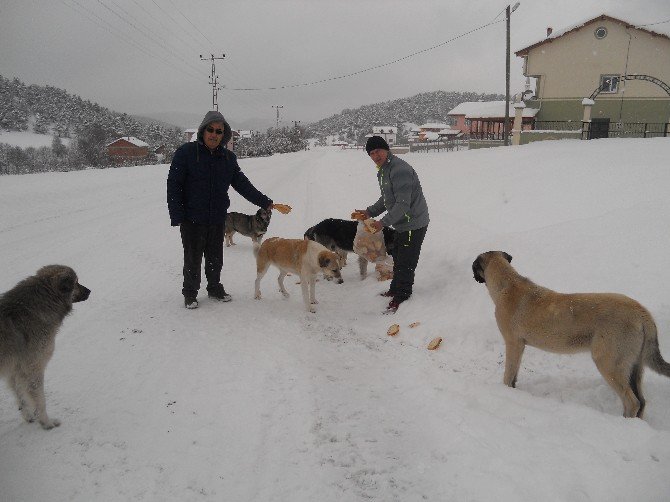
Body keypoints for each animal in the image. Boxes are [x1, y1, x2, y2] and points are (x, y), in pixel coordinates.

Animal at [472, 251, 670, 420]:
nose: (473, 276)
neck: (507, 283)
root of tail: (643, 313)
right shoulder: (520, 346)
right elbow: (514, 376)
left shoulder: (513, 343)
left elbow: (508, 374)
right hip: (634, 366)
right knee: (641, 401)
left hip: (609, 363)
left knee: (632, 402)